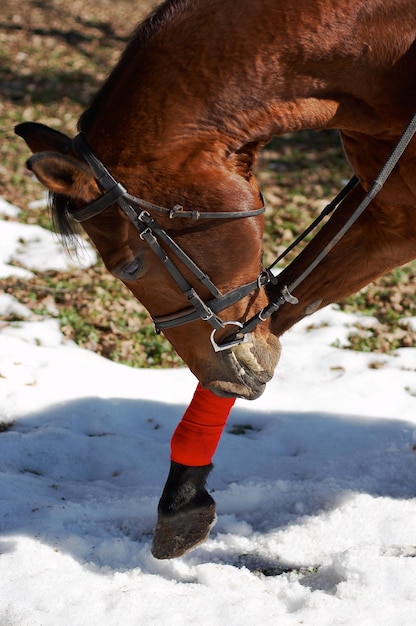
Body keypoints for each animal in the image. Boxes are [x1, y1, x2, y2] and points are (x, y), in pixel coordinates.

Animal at [15, 0, 416, 556]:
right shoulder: (390, 213)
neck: (382, 51)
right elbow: (274, 311)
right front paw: (182, 496)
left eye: (129, 267)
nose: (224, 377)